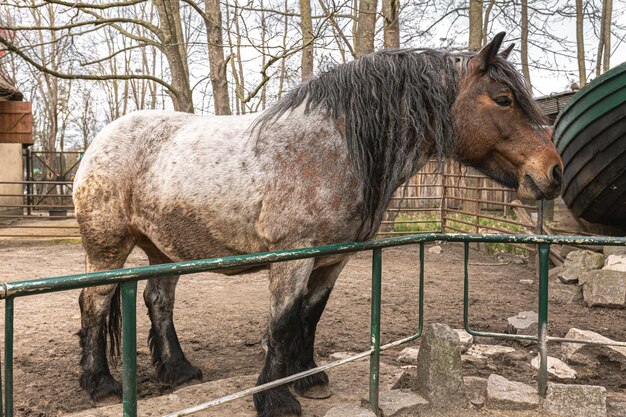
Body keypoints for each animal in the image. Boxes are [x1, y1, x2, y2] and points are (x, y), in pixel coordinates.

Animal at [73, 31, 560, 416]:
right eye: (503, 99)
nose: (553, 172)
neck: (335, 148)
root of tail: (99, 140)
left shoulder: (332, 258)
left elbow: (310, 315)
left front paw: (309, 379)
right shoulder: (294, 256)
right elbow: (283, 322)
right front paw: (275, 398)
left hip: (163, 249)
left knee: (158, 302)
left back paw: (179, 371)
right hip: (107, 248)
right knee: (93, 304)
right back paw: (101, 384)